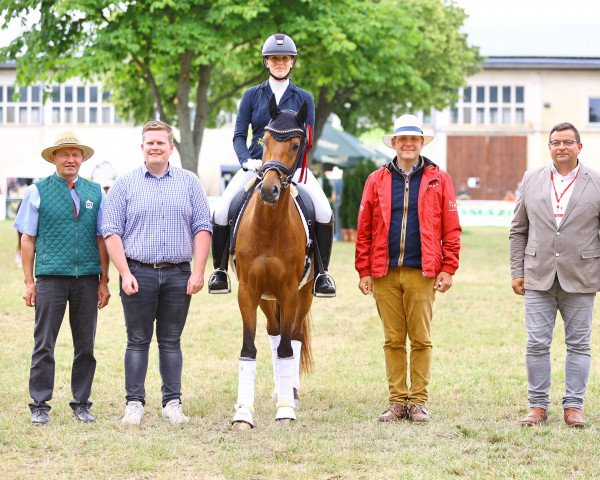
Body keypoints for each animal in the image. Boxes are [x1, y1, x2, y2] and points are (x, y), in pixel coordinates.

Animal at [230, 95, 314, 430]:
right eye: (263, 141)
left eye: (296, 144)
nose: (268, 189)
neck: (268, 227)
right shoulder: (248, 293)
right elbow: (248, 349)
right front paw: (243, 413)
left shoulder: (290, 292)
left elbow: (288, 349)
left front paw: (286, 410)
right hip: (267, 298)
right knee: (276, 332)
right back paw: (281, 390)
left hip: (304, 294)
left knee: (294, 337)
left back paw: (291, 394)